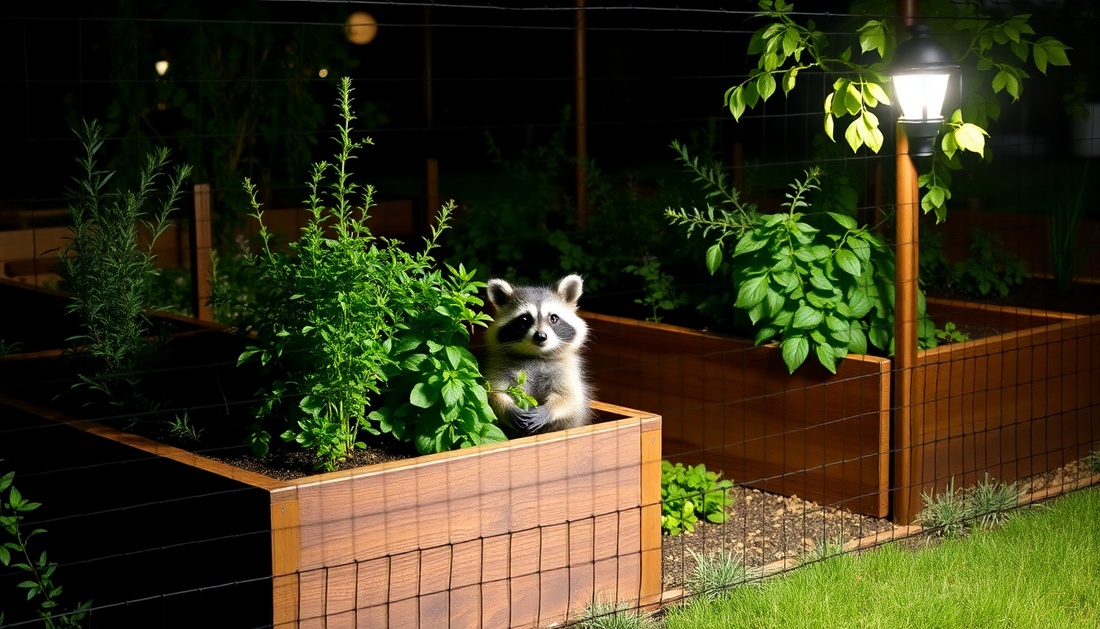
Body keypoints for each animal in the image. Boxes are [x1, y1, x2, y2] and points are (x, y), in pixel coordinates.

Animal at [483, 274, 594, 437]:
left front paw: (548, 410)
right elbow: (492, 393)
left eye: (553, 318)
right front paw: (505, 405)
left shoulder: (567, 371)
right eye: (524, 319)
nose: (541, 336)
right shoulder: (498, 367)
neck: (535, 354)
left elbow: (570, 398)